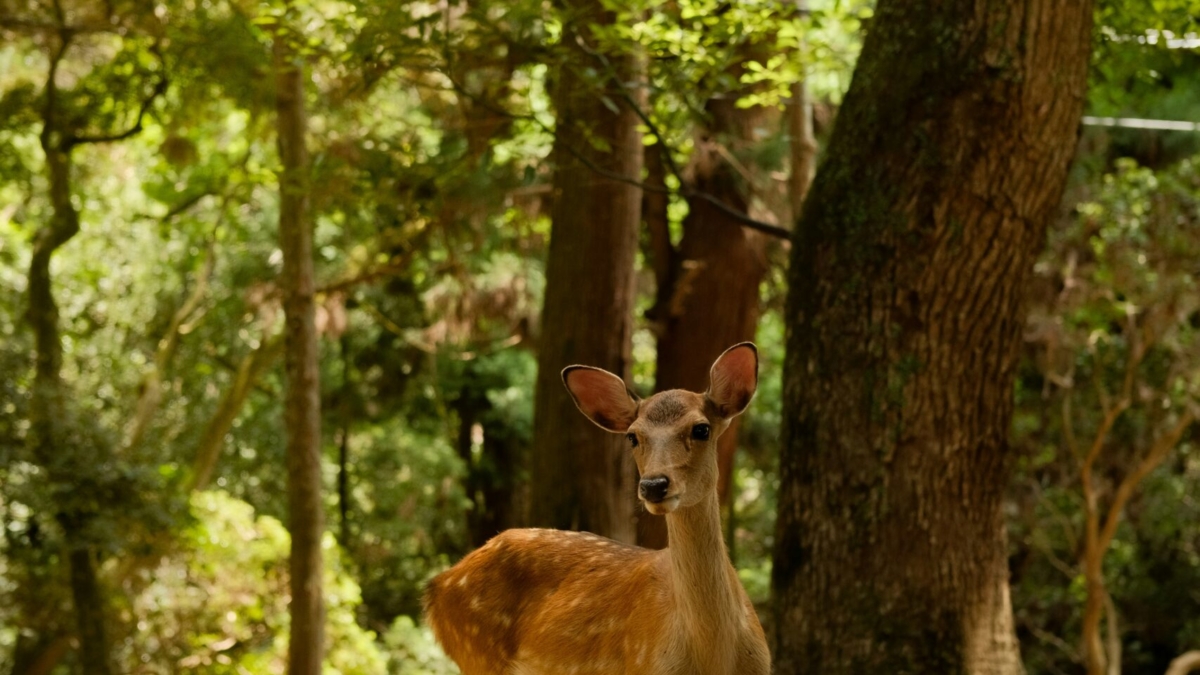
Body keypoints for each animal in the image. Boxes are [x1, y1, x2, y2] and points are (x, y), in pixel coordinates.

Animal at [423, 343, 770, 675]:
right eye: (632, 437)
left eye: (702, 429)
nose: (654, 485)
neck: (715, 657)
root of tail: (436, 587)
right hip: (476, 653)